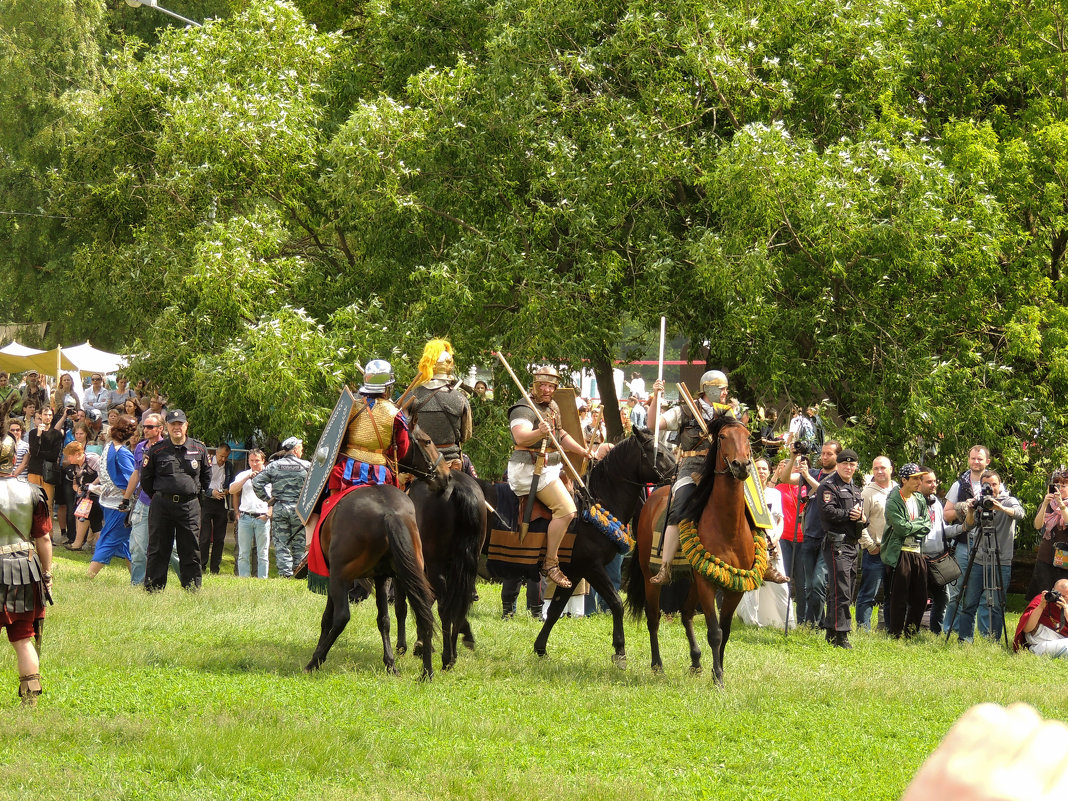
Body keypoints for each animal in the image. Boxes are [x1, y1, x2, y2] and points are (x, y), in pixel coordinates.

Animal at [303, 422, 448, 679]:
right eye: (428, 441)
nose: (446, 476)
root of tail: (389, 513)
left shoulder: (332, 574)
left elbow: (327, 618)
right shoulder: (382, 577)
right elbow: (384, 619)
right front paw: (390, 663)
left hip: (341, 575)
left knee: (341, 617)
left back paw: (315, 661)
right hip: (410, 571)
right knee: (424, 613)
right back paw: (426, 672)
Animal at [627, 416, 764, 687]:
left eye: (747, 437)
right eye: (722, 437)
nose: (741, 465)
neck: (728, 526)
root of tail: (653, 497)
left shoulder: (734, 587)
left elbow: (726, 630)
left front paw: (717, 670)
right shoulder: (707, 583)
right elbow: (715, 632)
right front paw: (718, 678)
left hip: (692, 580)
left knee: (686, 613)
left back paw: (696, 661)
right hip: (651, 576)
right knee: (653, 617)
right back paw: (657, 665)